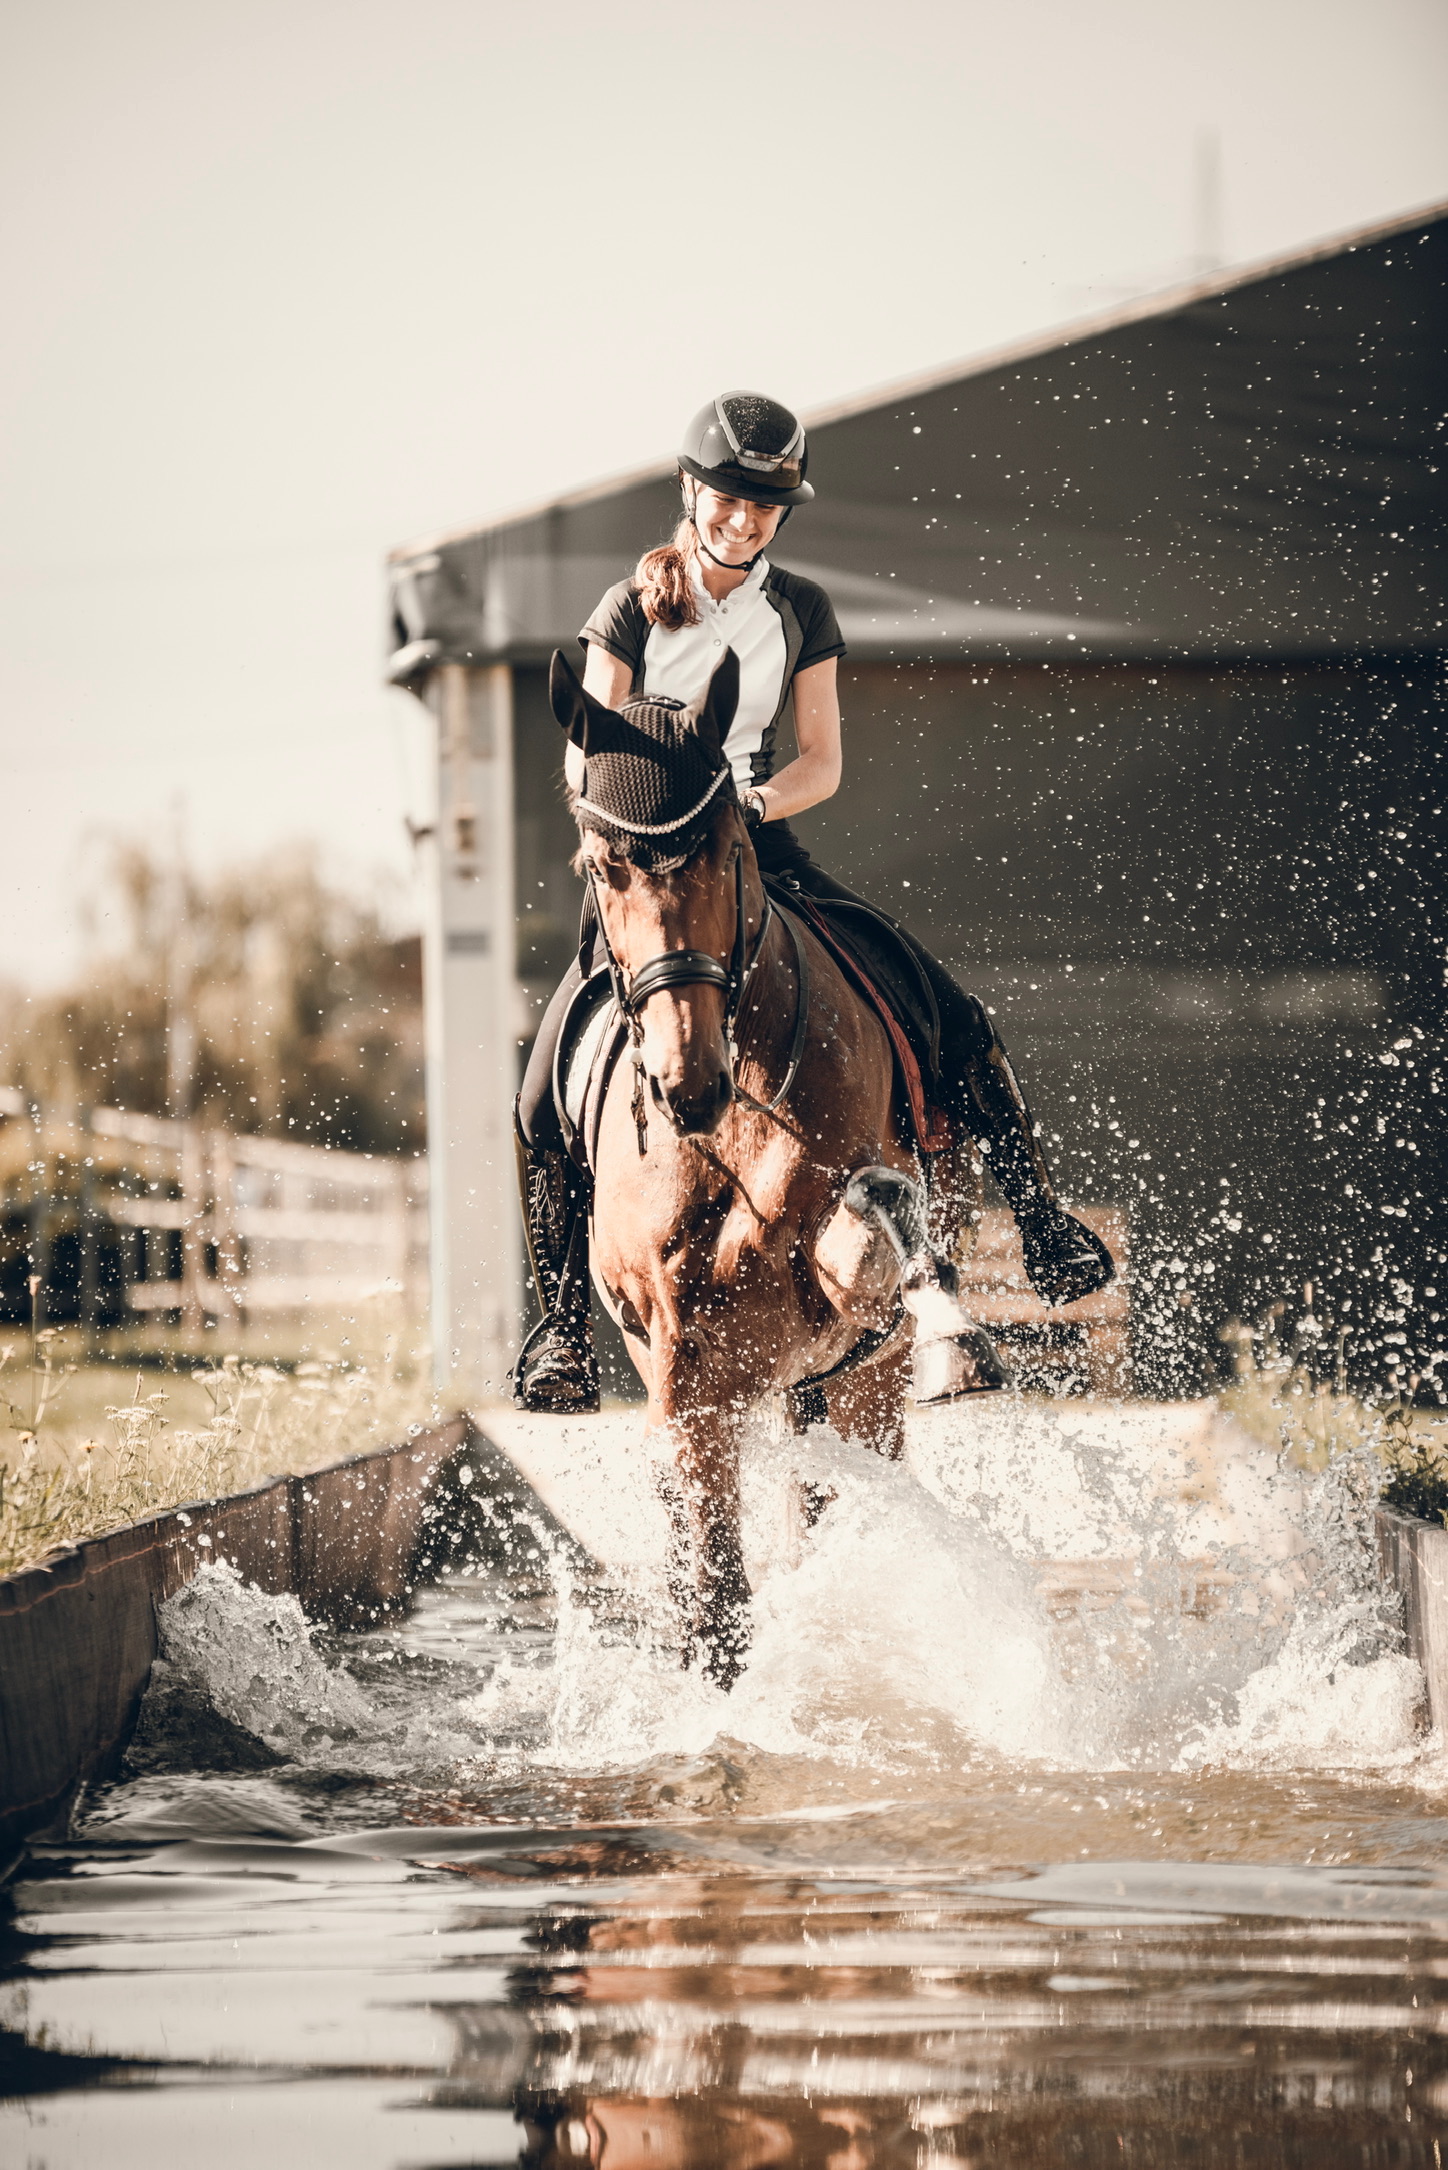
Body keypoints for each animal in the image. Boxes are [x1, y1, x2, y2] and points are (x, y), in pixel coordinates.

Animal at [549, 651, 1002, 1683]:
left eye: (727, 849)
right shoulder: (683, 1364)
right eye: (601, 866)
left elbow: (875, 1212)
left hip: (858, 1388)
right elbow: (713, 1588)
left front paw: (949, 1322)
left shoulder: (841, 1305)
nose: (688, 1086)